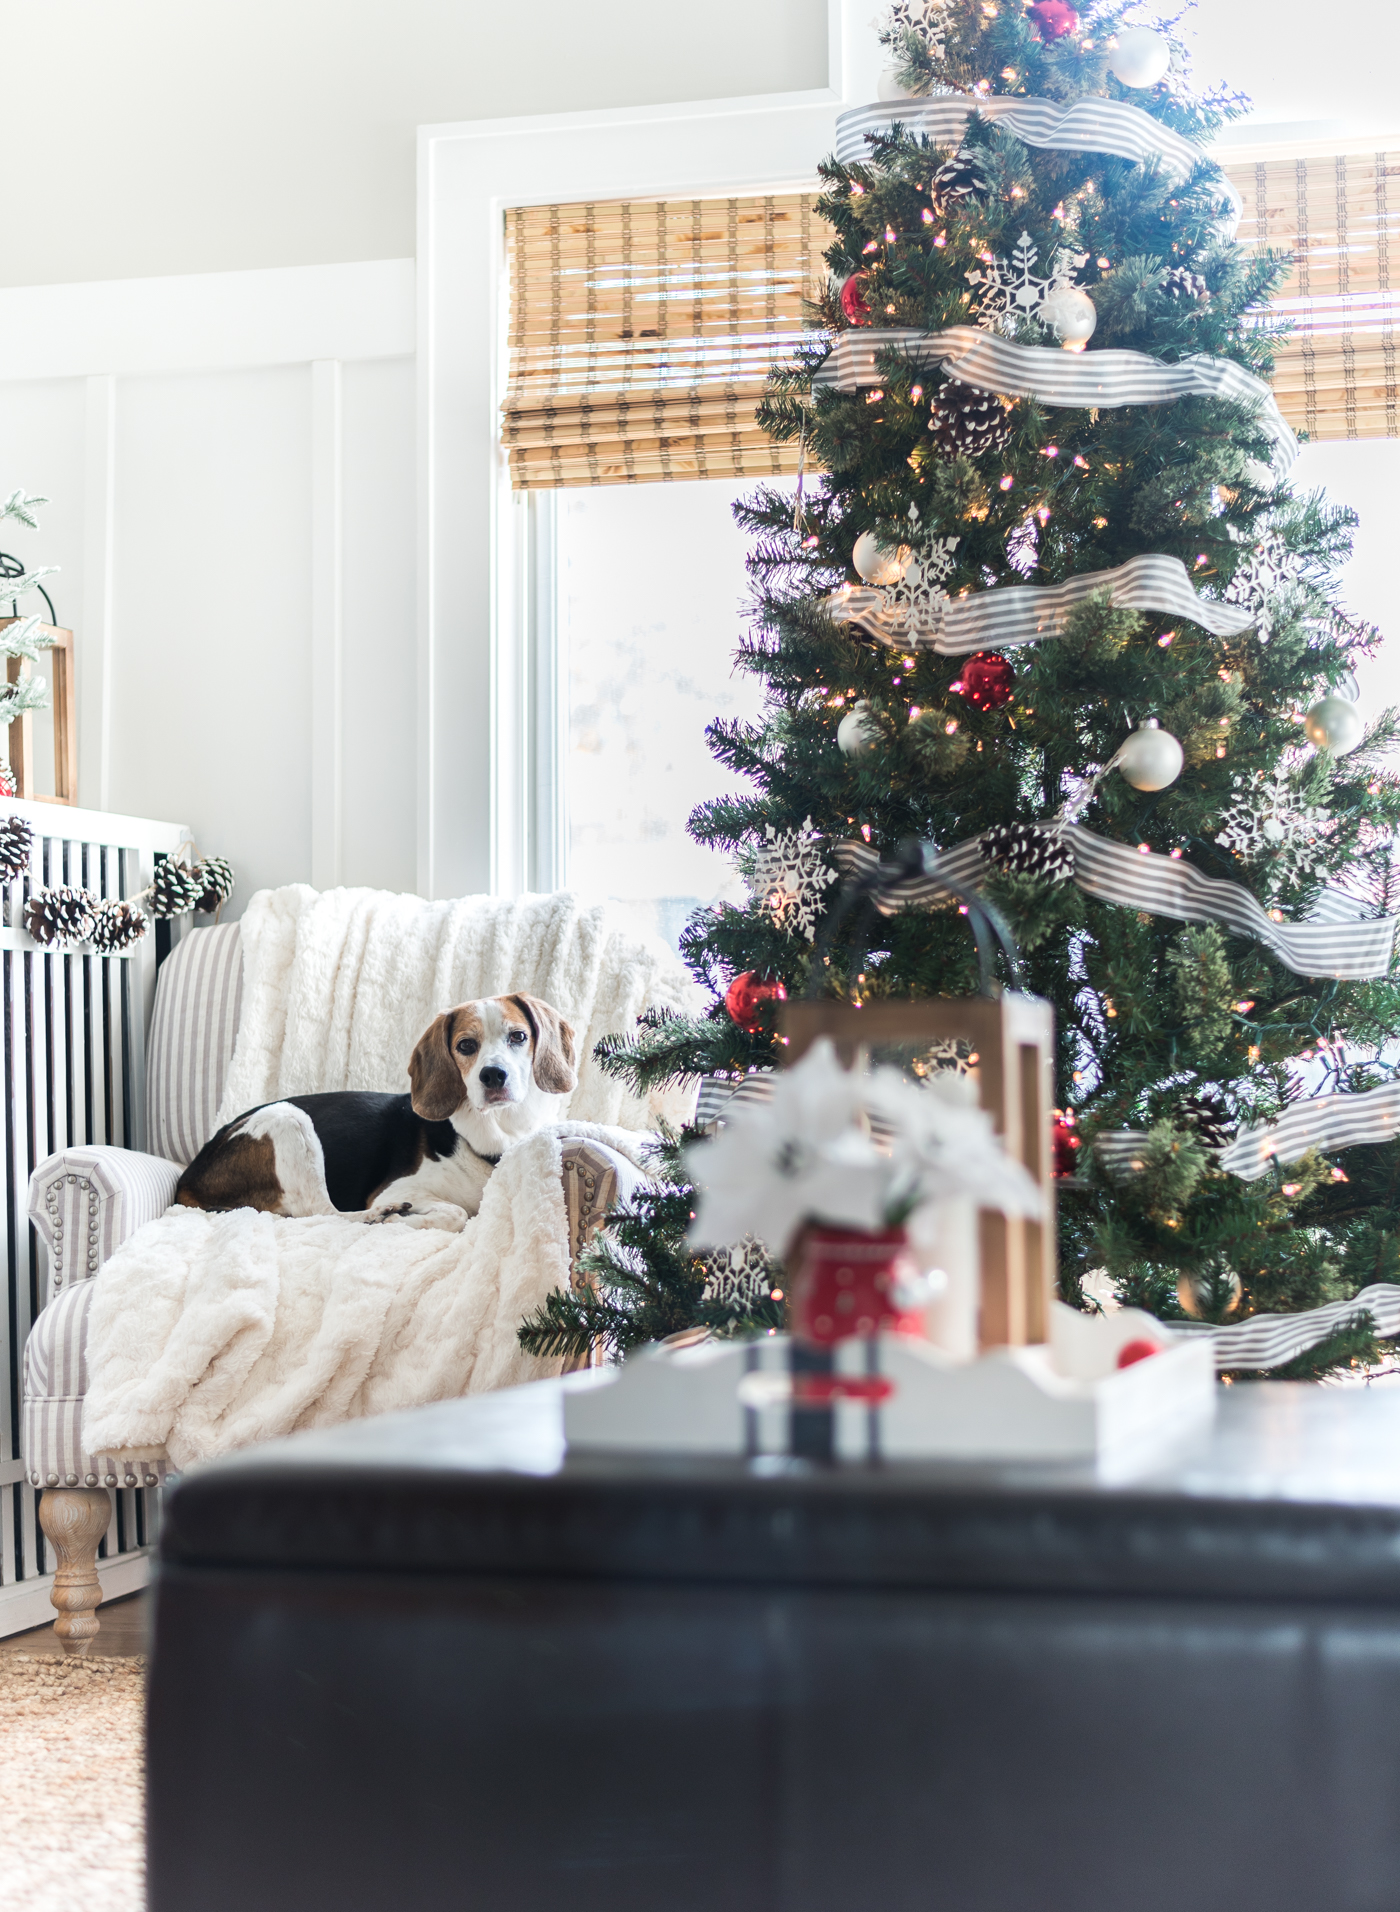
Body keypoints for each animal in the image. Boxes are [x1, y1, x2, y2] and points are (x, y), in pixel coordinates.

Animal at [175, 994, 581, 1231]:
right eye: (466, 1045)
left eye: (518, 1036)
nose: (494, 1074)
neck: (493, 1135)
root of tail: (188, 1178)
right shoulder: (399, 1188)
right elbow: (456, 1214)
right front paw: (406, 1218)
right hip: (288, 1120)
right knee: (323, 1213)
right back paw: (377, 1217)